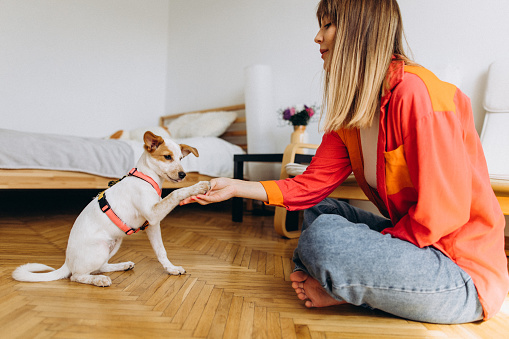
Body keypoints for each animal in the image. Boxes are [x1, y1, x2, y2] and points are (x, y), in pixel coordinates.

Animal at [12, 131, 210, 288]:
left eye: (181, 159)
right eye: (167, 157)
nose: (183, 175)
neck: (146, 177)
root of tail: (67, 262)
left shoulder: (152, 225)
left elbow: (161, 251)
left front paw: (171, 269)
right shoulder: (153, 214)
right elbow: (176, 193)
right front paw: (197, 186)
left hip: (114, 244)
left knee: (100, 266)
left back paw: (121, 266)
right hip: (100, 248)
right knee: (77, 276)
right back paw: (98, 280)